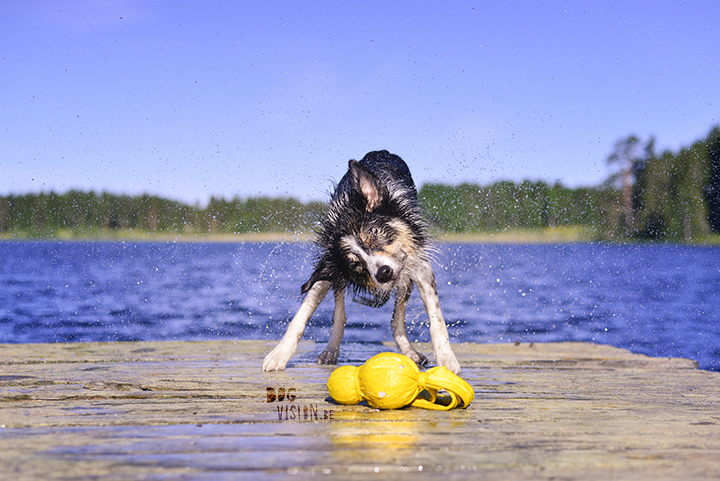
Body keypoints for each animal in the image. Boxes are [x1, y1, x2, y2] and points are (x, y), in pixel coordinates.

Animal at [262, 148, 462, 374]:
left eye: (374, 233)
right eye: (355, 265)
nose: (383, 273)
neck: (345, 213)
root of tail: (380, 151)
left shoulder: (419, 264)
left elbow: (436, 319)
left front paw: (446, 358)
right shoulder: (329, 267)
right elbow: (301, 315)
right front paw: (279, 354)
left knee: (396, 319)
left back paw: (410, 352)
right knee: (340, 314)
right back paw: (331, 351)